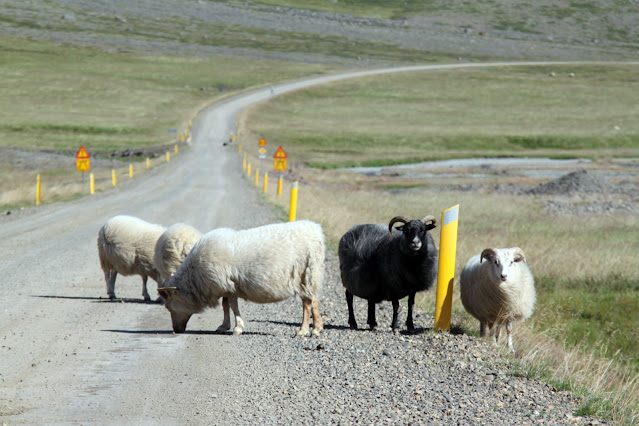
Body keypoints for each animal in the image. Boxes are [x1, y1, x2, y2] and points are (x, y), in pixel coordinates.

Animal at [156, 220, 324, 336]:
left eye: (168, 306)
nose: (176, 330)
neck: (194, 277)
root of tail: (316, 230)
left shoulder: (226, 284)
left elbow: (232, 305)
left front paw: (237, 327)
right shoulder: (225, 286)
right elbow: (226, 305)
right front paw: (224, 326)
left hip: (305, 274)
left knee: (307, 303)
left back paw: (303, 331)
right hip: (310, 277)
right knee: (314, 300)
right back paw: (316, 329)